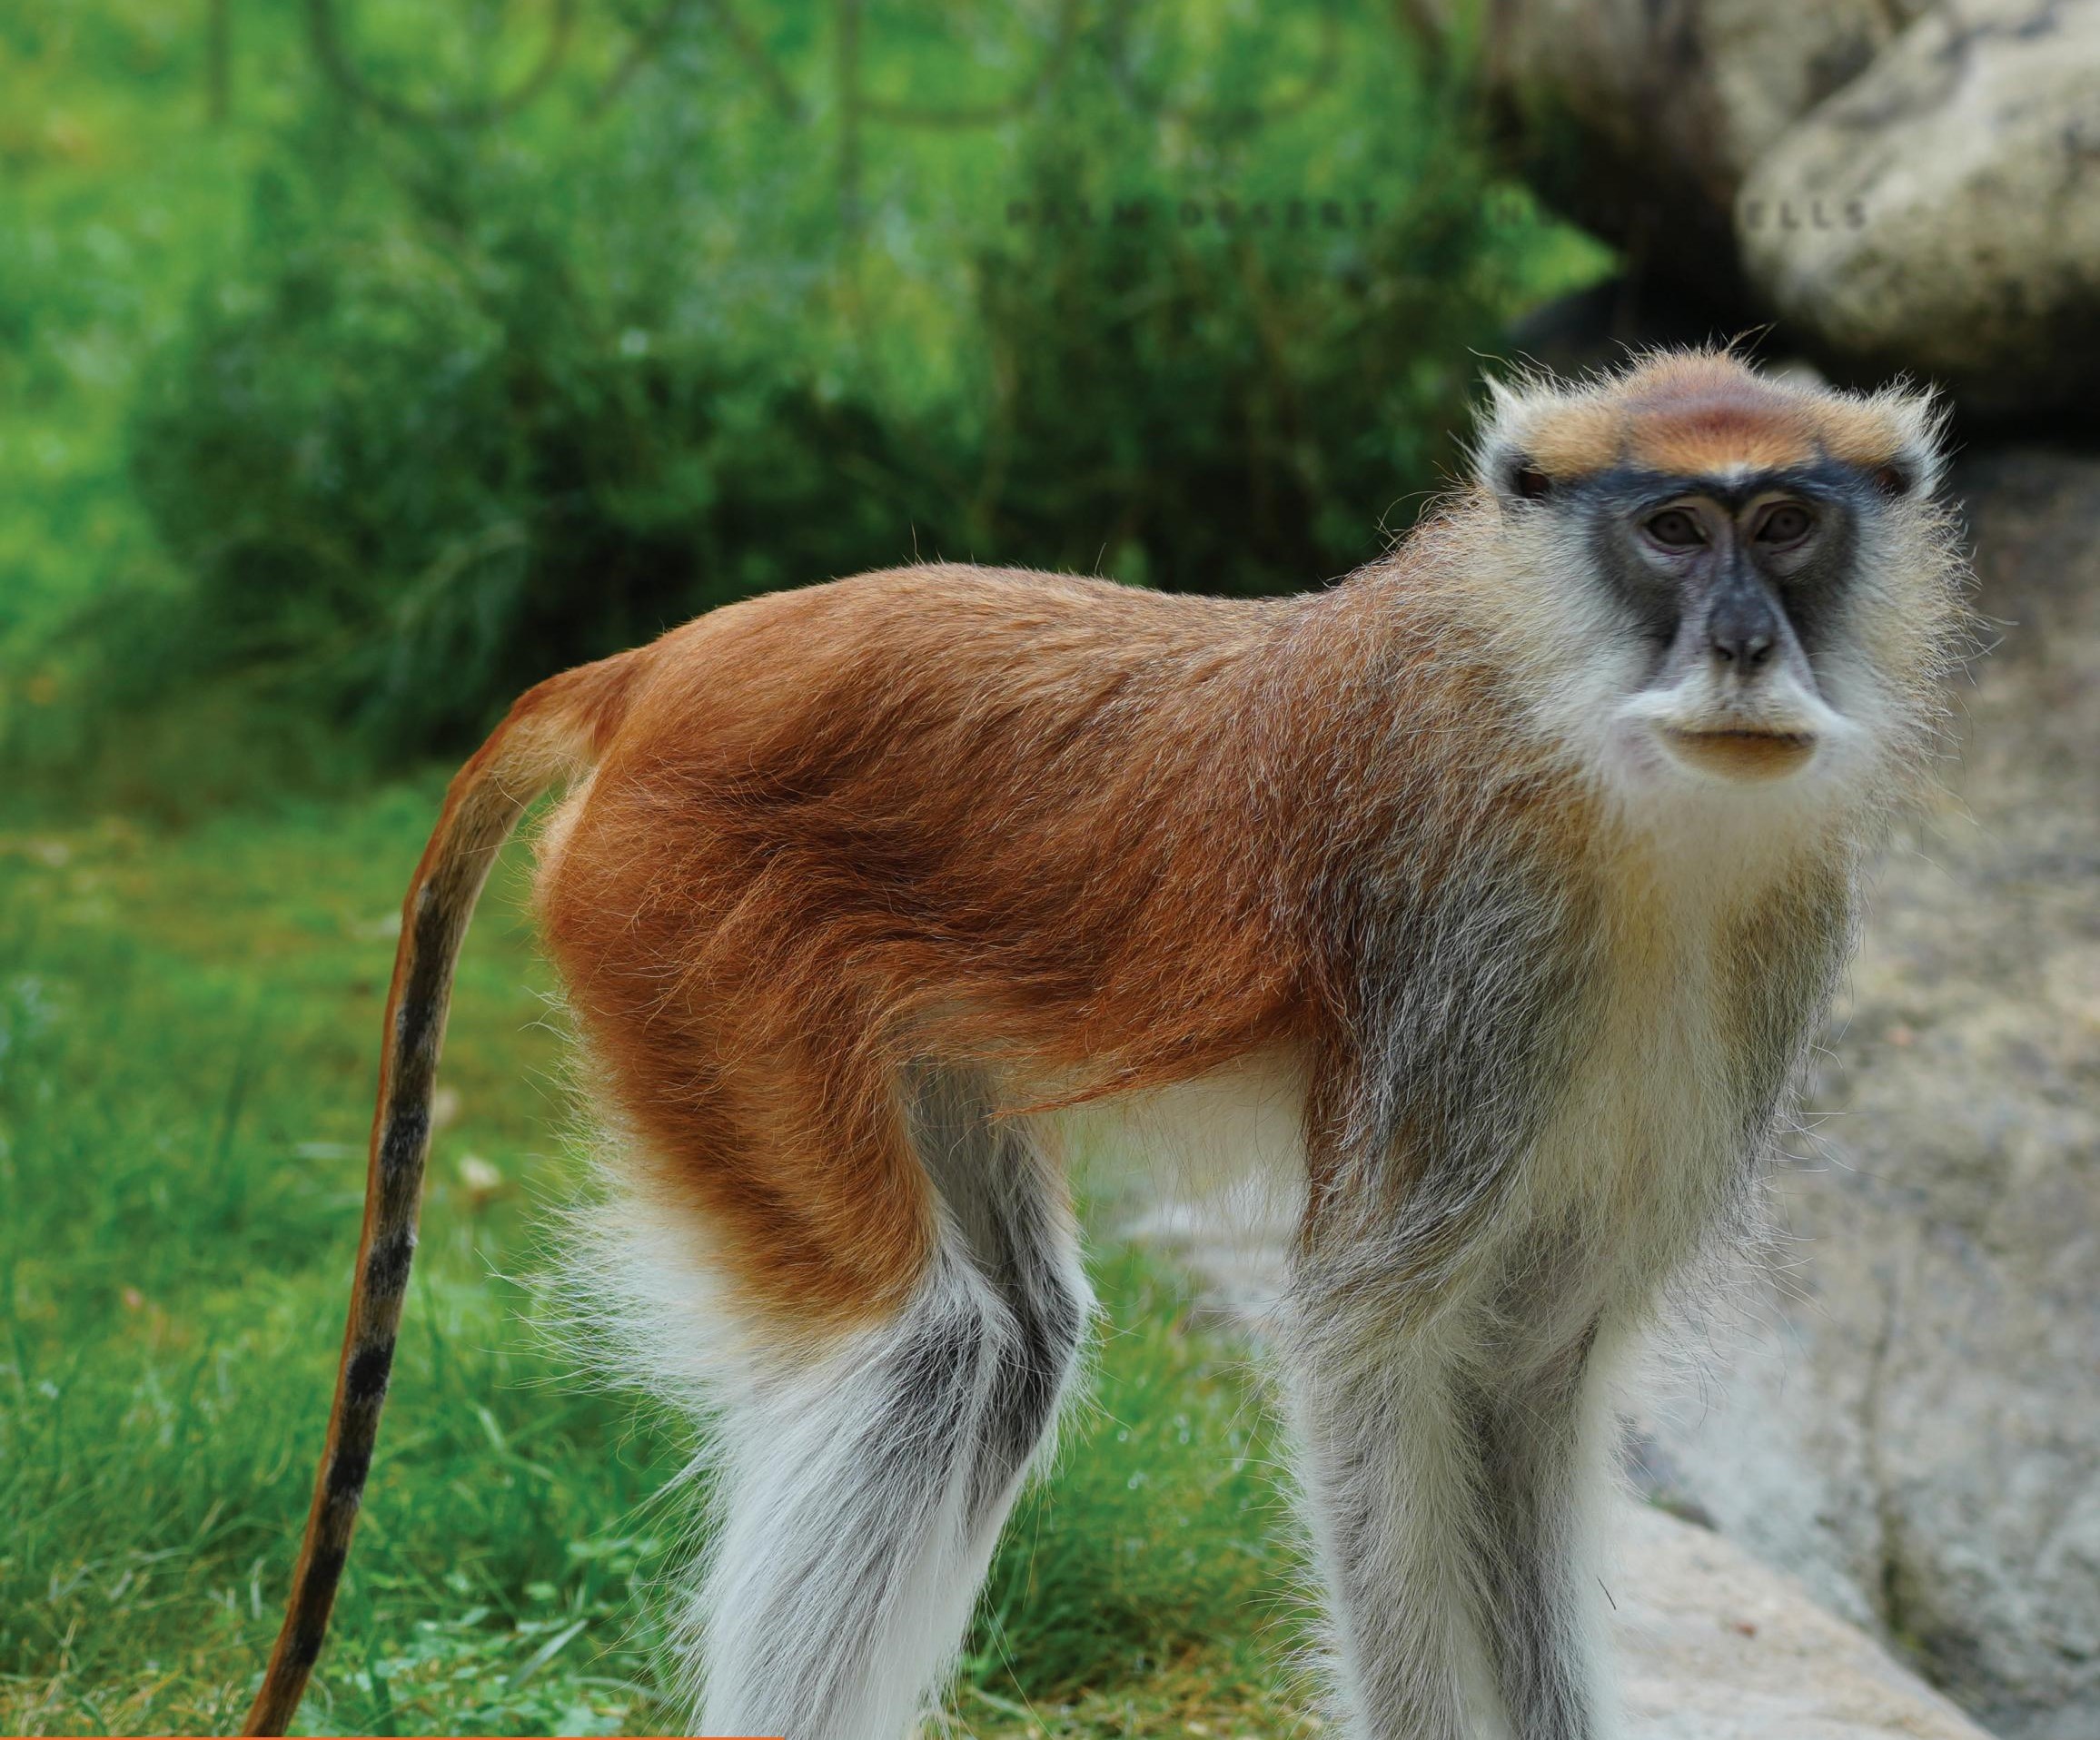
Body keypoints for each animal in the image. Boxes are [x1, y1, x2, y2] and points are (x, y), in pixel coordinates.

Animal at [241, 350, 1967, 1740]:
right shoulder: (1464, 957)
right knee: (929, 1355)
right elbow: (1371, 1354)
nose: (1742, 643)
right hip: (680, 935)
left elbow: (1522, 1378)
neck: (1575, 737)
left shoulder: (1745, 965)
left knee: (1006, 1346)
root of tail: (666, 663)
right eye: (1673, 529)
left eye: (1785, 525)